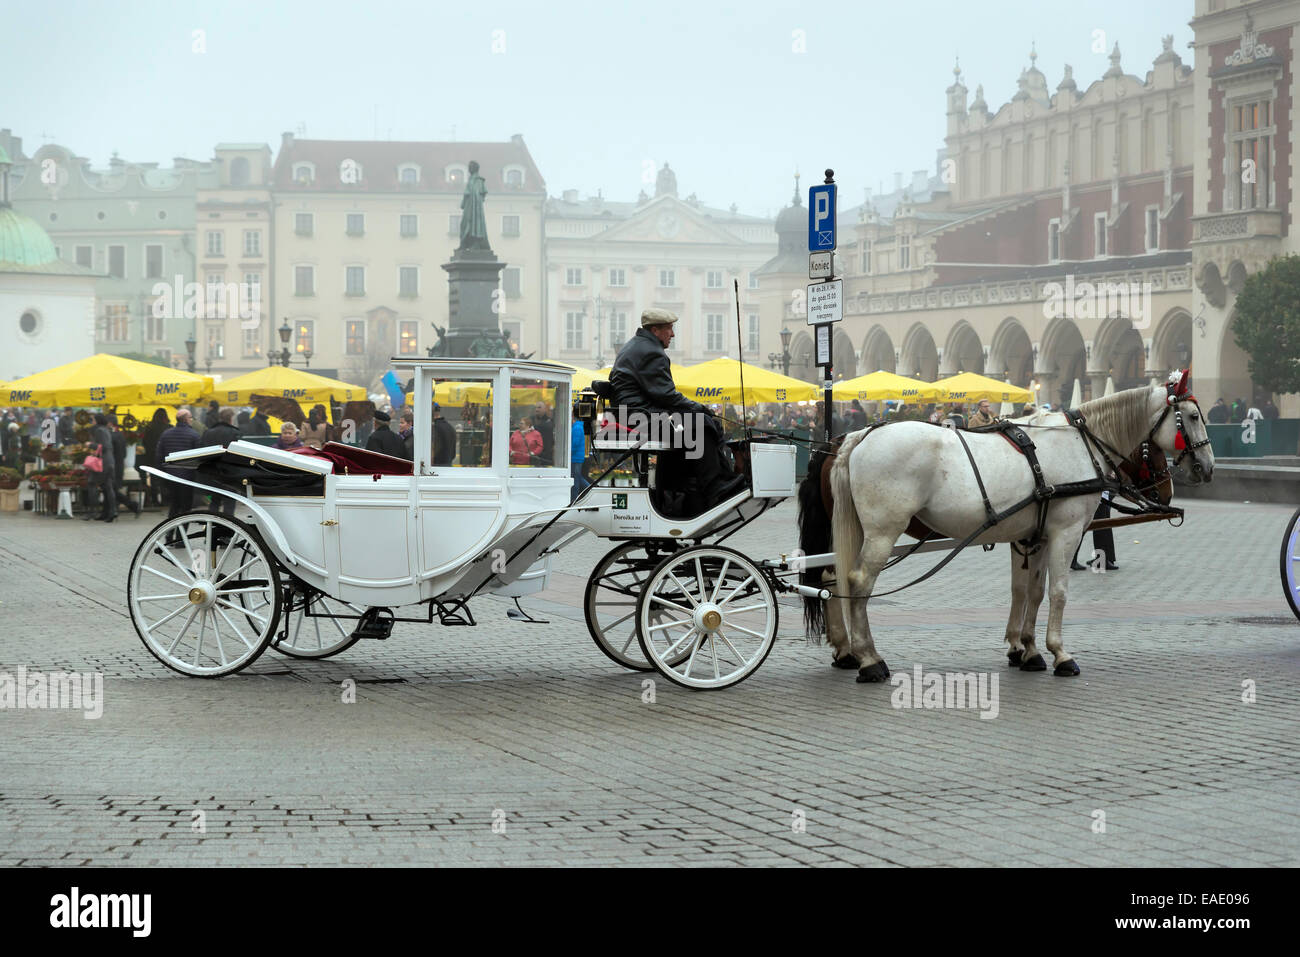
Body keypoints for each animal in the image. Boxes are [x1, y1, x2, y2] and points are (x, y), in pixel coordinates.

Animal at [816, 377, 1211, 686]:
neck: (1080, 443)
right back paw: (869, 659)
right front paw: (1060, 653)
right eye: (1192, 417)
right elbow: (1059, 592)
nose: (1206, 468)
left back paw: (848, 650)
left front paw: (1029, 650)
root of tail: (860, 436)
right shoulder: (1066, 533)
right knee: (859, 583)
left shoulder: (1036, 536)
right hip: (883, 531)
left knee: (831, 578)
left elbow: (1031, 592)